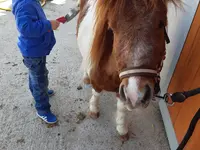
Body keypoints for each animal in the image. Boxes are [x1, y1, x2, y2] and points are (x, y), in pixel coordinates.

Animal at [76, 0, 180, 141]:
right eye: (112, 27)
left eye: (161, 23)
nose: (136, 94)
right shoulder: (98, 79)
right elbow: (96, 93)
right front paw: (94, 109)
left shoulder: (122, 91)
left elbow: (122, 108)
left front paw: (121, 128)